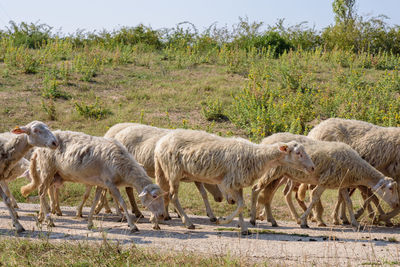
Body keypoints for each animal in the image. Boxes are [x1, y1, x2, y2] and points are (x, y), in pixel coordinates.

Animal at [20, 130, 166, 232]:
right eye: (154, 196)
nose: (161, 215)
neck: (123, 166)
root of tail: (38, 149)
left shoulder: (101, 183)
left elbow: (95, 201)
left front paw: (90, 222)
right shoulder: (110, 183)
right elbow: (123, 203)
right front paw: (132, 225)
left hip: (54, 174)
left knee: (43, 193)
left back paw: (41, 217)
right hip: (47, 170)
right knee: (41, 192)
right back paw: (49, 221)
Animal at [84, 123, 231, 222]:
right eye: (217, 181)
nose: (220, 199)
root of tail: (116, 131)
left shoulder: (191, 177)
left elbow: (203, 194)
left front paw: (210, 215)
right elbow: (169, 194)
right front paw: (168, 214)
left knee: (123, 189)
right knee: (118, 190)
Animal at [154, 129, 316, 236]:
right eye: (298, 153)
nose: (313, 168)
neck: (256, 156)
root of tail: (160, 144)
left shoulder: (238, 183)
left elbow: (241, 205)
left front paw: (243, 228)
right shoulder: (229, 182)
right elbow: (240, 205)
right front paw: (223, 220)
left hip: (164, 171)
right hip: (173, 171)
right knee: (173, 196)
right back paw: (188, 222)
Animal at [248, 133, 398, 229]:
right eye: (390, 188)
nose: (397, 204)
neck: (356, 167)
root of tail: (266, 139)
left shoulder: (341, 183)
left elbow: (348, 202)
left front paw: (355, 222)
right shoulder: (325, 181)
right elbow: (314, 197)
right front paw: (304, 221)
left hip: (279, 174)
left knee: (269, 194)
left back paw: (272, 220)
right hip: (272, 172)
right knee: (256, 189)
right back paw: (253, 219)